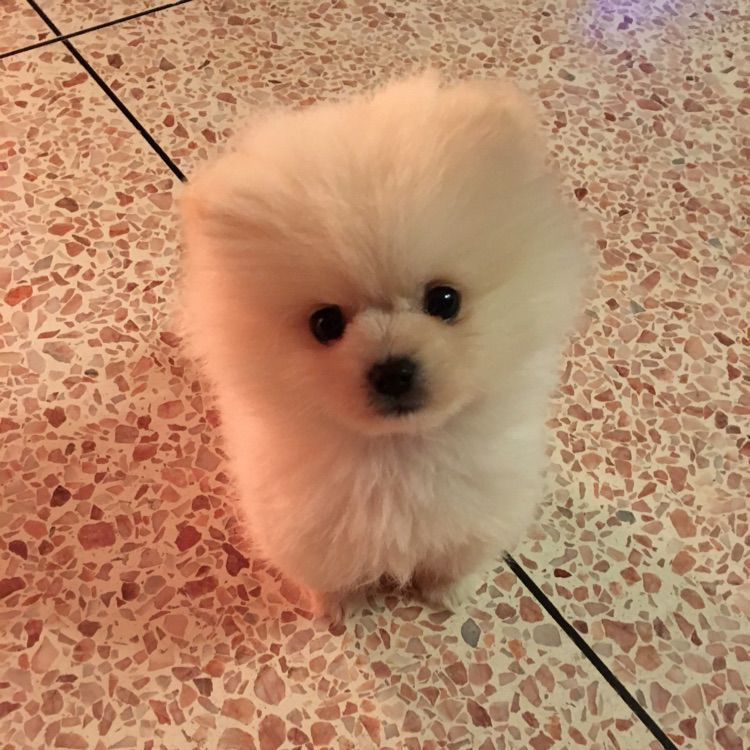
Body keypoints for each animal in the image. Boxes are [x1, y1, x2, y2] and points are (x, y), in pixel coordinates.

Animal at [180, 73, 586, 619]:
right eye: (325, 323)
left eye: (445, 299)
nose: (393, 371)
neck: (397, 455)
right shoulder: (303, 528)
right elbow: (332, 575)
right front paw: (338, 608)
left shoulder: (481, 508)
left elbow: (457, 557)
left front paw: (447, 592)